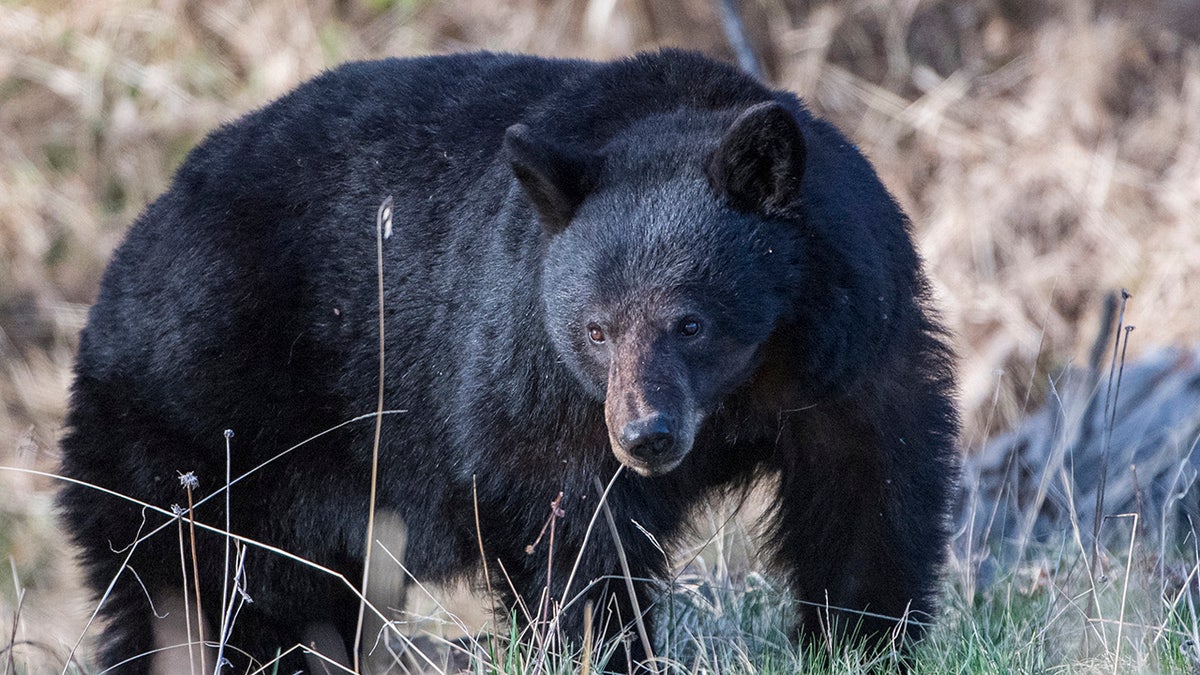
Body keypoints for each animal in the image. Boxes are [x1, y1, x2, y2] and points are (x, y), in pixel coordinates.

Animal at [58, 50, 959, 673]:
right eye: (595, 330)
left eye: (691, 322)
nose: (648, 436)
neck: (747, 385)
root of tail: (120, 267)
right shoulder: (535, 380)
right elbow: (578, 537)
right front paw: (602, 650)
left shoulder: (854, 349)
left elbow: (868, 495)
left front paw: (862, 641)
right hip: (203, 432)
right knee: (198, 591)